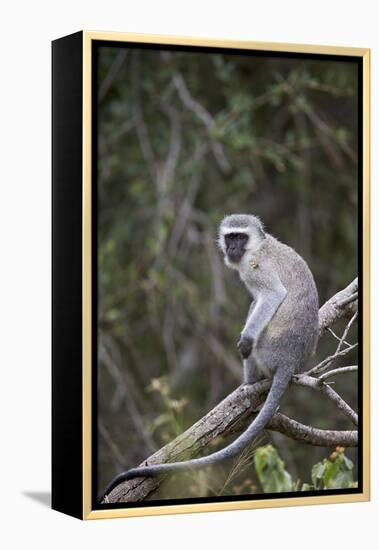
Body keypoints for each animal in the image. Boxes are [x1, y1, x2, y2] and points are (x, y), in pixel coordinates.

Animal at [101, 215, 320, 500]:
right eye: (230, 237)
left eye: (240, 237)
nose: (233, 248)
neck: (258, 246)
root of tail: (290, 360)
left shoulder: (255, 268)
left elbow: (272, 295)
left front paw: (246, 340)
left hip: (268, 350)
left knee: (255, 314)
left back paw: (250, 381)